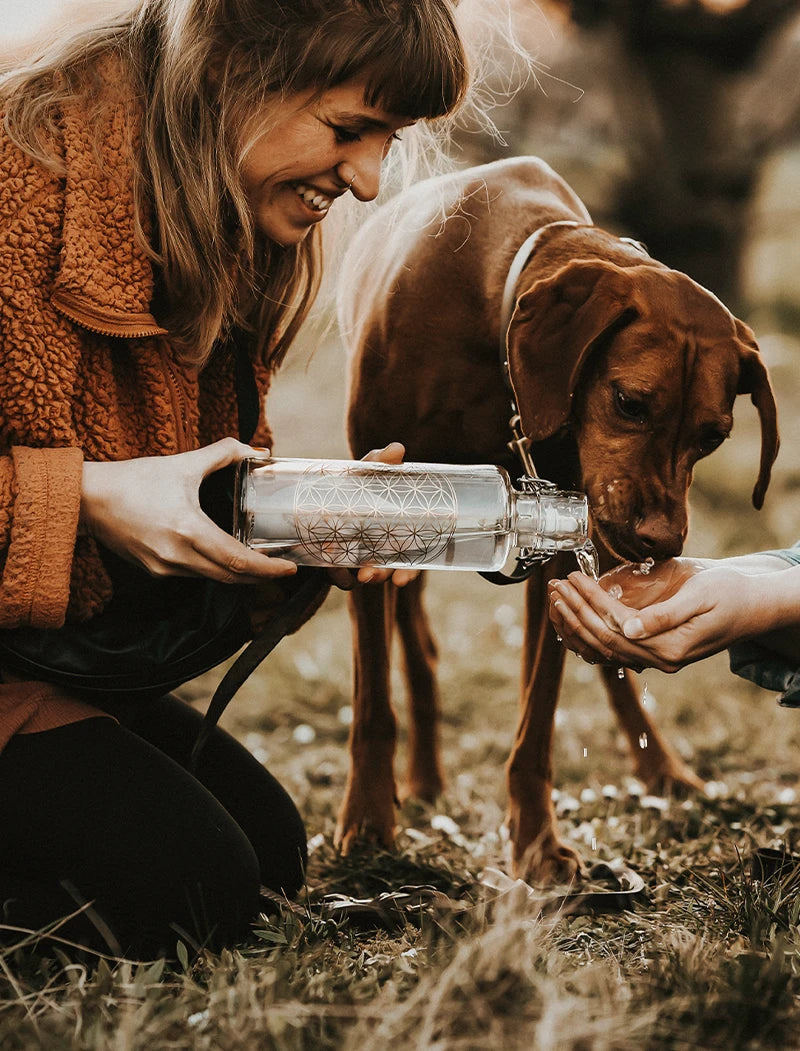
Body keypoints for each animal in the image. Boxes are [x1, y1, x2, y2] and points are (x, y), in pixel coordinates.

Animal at [334, 153, 777, 878]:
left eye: (713, 436)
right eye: (629, 402)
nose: (662, 540)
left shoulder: (558, 536)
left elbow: (537, 721)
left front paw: (537, 843)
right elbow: (374, 700)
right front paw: (369, 821)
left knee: (612, 674)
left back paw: (662, 770)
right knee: (418, 648)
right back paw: (423, 779)